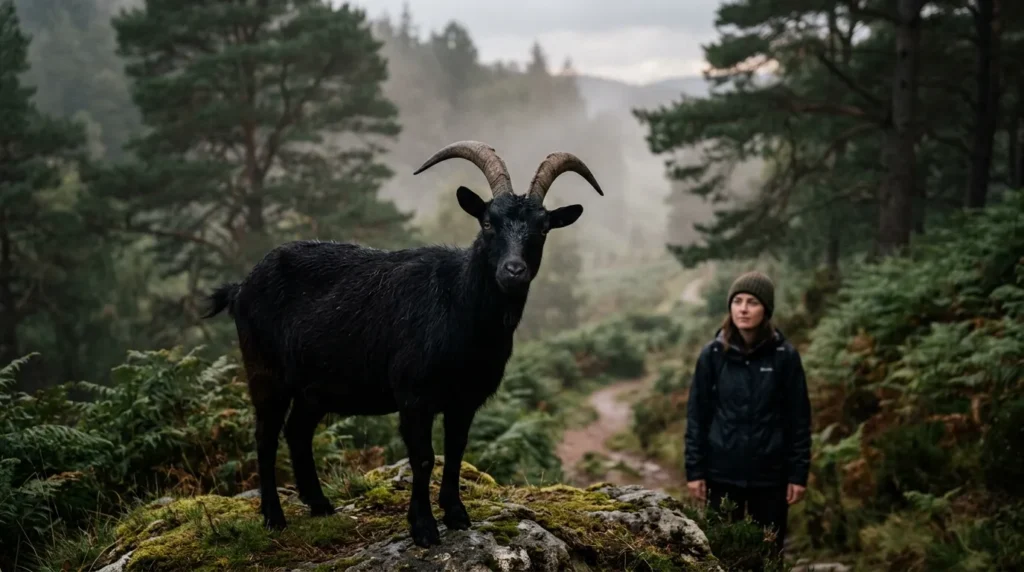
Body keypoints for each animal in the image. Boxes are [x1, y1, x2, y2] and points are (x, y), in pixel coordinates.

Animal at [201, 140, 604, 547]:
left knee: (297, 431)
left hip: (314, 387)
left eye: (543, 228)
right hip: (265, 370)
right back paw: (274, 517)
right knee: (265, 435)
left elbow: (455, 451)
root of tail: (241, 288)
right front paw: (423, 527)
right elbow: (423, 456)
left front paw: (457, 515)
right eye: (489, 222)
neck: (457, 304)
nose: (513, 271)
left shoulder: (465, 399)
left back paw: (320, 505)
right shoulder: (414, 395)